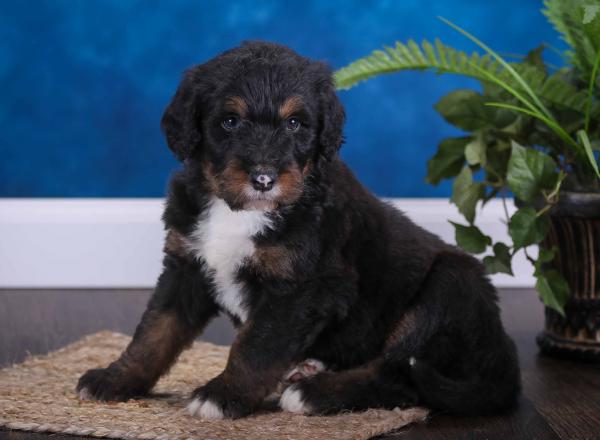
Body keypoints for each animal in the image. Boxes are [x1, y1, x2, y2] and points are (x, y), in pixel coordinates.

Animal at [77, 41, 520, 420]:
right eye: (230, 121)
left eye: (294, 123)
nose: (263, 178)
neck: (239, 211)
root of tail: (503, 359)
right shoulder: (186, 265)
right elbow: (154, 331)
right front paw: (115, 378)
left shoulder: (302, 288)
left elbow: (256, 346)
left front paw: (223, 395)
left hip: (448, 285)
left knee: (399, 375)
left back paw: (314, 393)